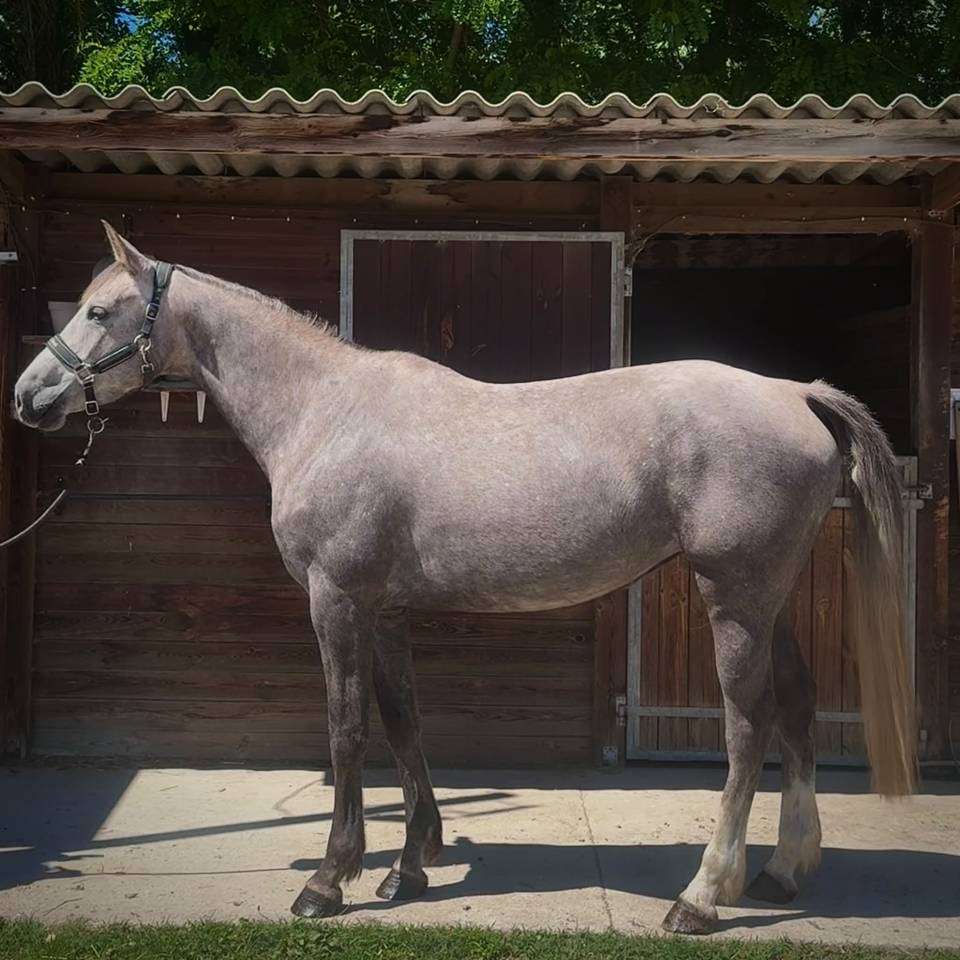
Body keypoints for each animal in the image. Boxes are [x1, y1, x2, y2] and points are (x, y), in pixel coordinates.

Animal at [13, 221, 915, 934]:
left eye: (99, 311)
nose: (28, 396)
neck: (325, 411)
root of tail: (796, 393)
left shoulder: (337, 600)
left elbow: (346, 730)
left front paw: (329, 880)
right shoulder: (385, 612)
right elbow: (404, 724)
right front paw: (408, 866)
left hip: (734, 599)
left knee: (747, 729)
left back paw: (700, 896)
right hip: (772, 600)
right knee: (796, 709)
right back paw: (782, 872)